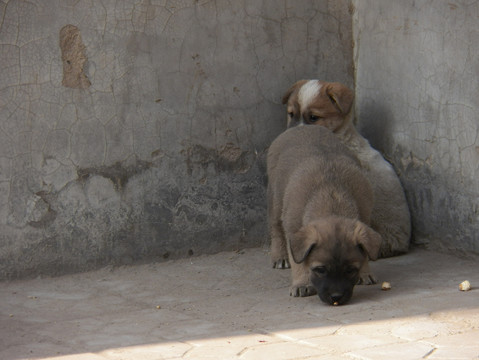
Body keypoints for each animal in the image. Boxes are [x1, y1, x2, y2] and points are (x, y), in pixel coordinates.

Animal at [266, 125, 382, 306]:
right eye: (320, 270)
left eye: (350, 270)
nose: (336, 298)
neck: (331, 195)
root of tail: (300, 127)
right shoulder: (293, 231)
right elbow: (299, 261)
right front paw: (302, 283)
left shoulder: (364, 218)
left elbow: (365, 252)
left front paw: (364, 273)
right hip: (276, 201)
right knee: (276, 229)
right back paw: (280, 257)